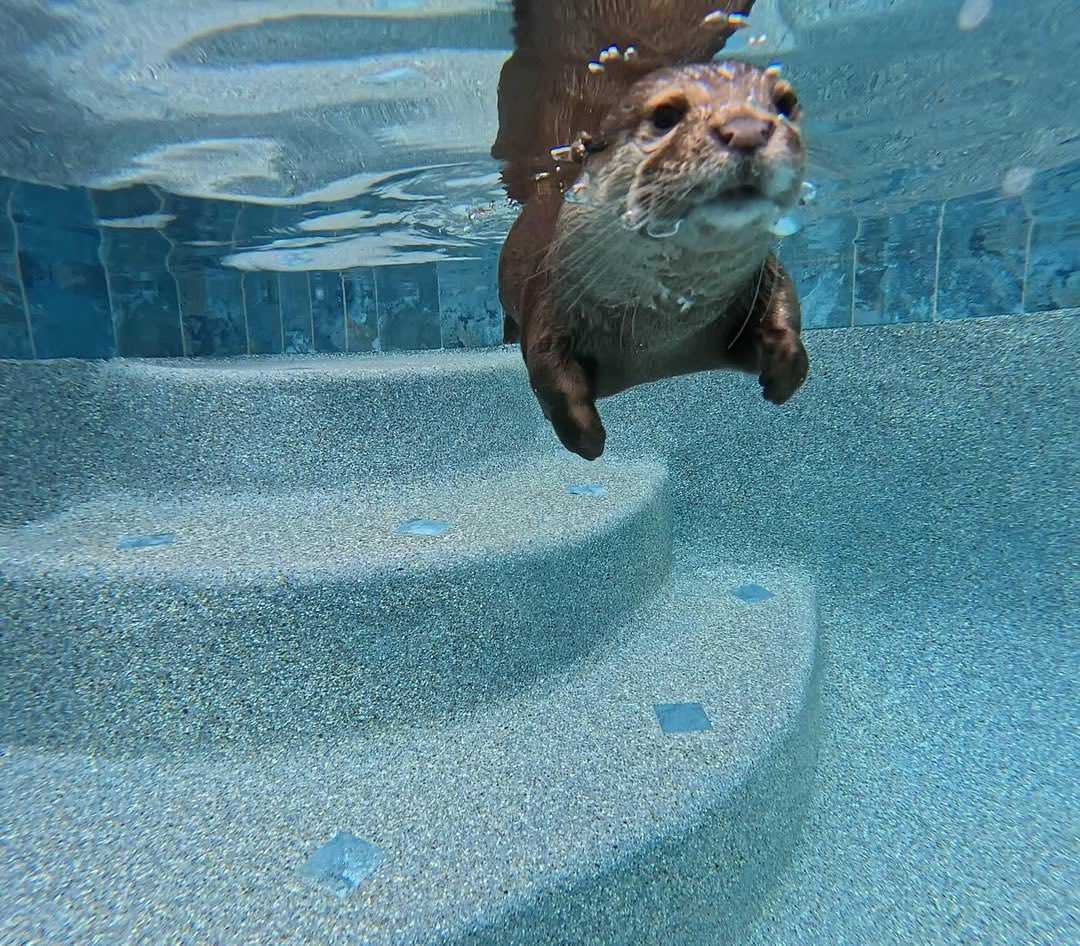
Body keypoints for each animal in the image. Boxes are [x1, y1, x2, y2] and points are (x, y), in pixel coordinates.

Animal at [492, 1, 809, 460]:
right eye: (665, 116)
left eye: (785, 103)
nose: (747, 129)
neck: (659, 333)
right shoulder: (550, 294)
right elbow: (548, 372)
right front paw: (588, 441)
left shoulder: (759, 279)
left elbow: (785, 306)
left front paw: (785, 371)